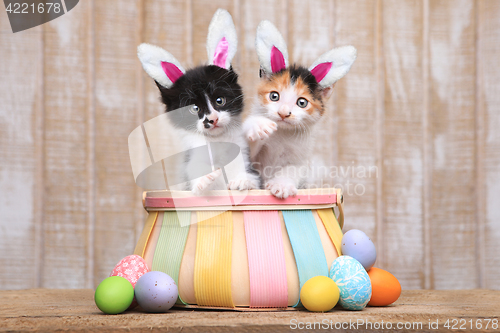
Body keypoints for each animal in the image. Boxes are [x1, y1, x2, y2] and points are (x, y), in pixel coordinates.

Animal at [244, 20, 358, 198]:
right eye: (274, 96)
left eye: (302, 103)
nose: (284, 113)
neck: (282, 134)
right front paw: (258, 126)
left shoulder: (301, 156)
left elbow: (293, 168)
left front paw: (282, 184)